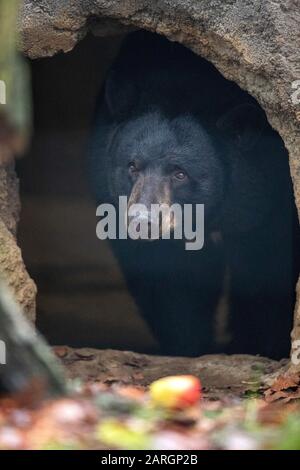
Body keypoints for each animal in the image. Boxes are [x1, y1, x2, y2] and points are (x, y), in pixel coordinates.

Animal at [89, 31, 300, 358]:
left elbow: (266, 273)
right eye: (132, 166)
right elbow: (171, 282)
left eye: (180, 173)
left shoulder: (266, 202)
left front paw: (257, 346)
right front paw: (187, 347)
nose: (143, 222)